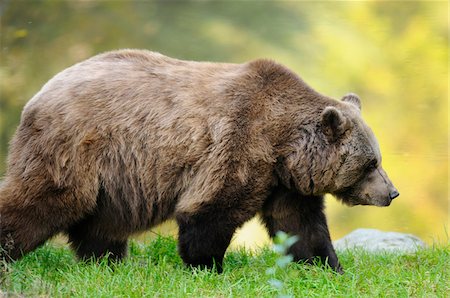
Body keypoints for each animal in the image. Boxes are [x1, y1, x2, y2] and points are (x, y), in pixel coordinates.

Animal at [1, 48, 400, 272]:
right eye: (370, 163)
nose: (392, 192)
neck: (284, 146)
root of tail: (42, 91)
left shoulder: (284, 181)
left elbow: (301, 225)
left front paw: (327, 266)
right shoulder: (240, 143)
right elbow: (210, 209)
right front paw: (208, 266)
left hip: (112, 180)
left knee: (100, 225)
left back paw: (107, 262)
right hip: (76, 148)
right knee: (42, 200)